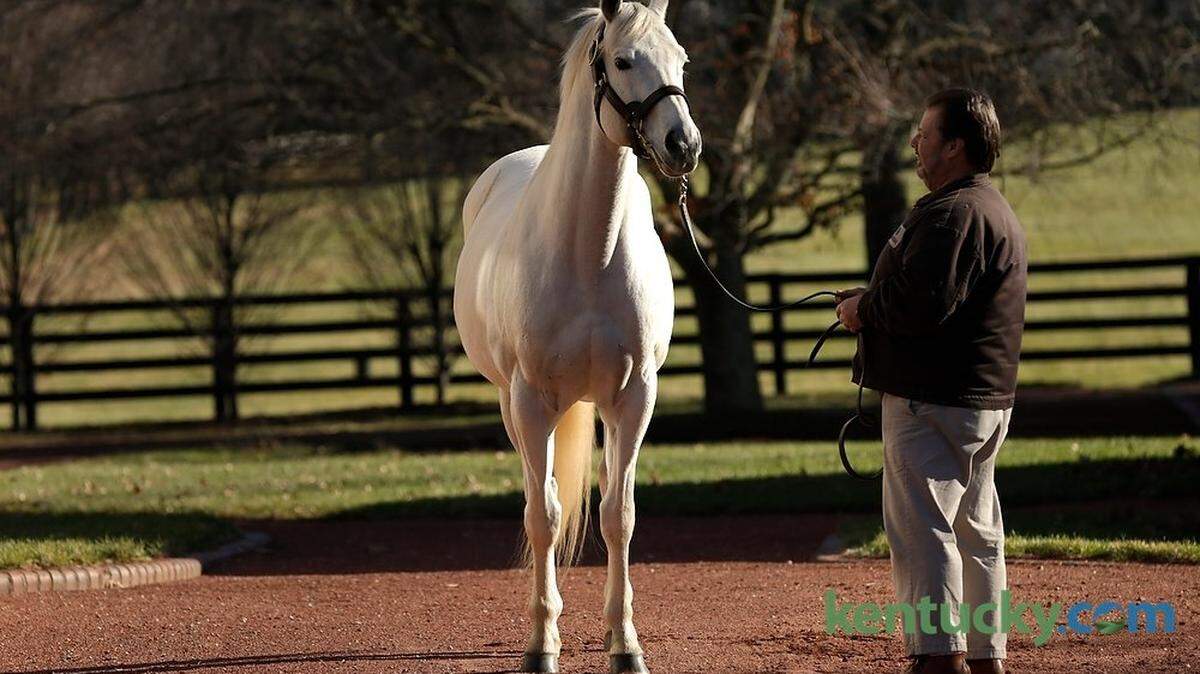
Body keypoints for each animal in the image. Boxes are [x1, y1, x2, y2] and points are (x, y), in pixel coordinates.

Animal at [452, 0, 701, 671]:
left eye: (681, 58)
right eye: (623, 60)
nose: (684, 144)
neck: (590, 250)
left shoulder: (635, 398)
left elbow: (619, 516)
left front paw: (626, 644)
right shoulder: (532, 401)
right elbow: (544, 515)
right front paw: (542, 645)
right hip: (512, 404)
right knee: (542, 499)